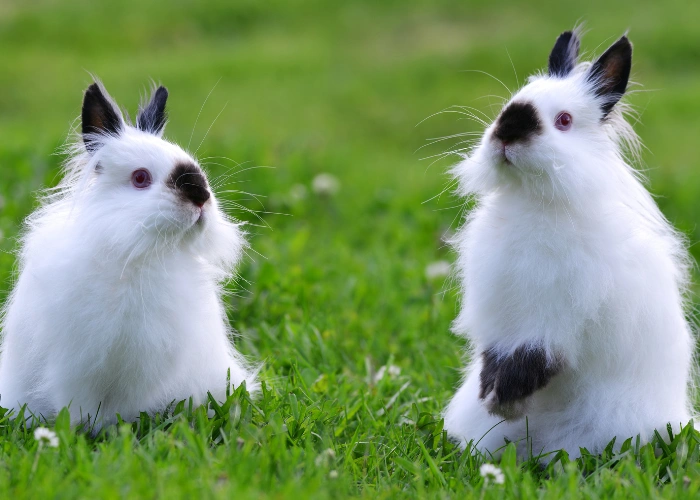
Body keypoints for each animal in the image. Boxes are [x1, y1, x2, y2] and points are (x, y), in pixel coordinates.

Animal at [0, 80, 259, 429]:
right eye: (140, 178)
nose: (201, 195)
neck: (139, 252)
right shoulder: (75, 365)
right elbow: (80, 406)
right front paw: (85, 430)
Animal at [443, 30, 696, 459]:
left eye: (563, 121)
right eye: (511, 101)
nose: (506, 132)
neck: (535, 201)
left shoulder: (556, 320)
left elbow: (538, 358)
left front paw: (502, 401)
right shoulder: (500, 316)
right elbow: (496, 355)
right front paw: (493, 399)